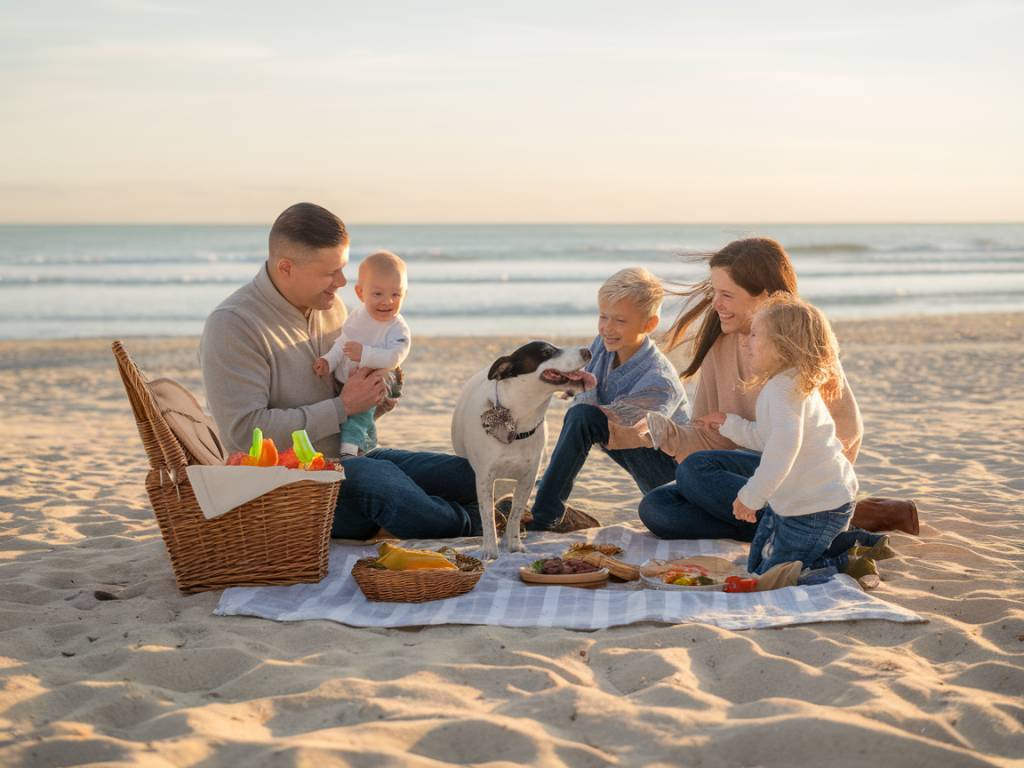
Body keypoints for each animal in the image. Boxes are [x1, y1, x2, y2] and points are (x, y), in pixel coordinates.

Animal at [452, 342, 598, 561]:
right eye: (547, 352)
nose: (587, 351)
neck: (518, 426)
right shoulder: (485, 478)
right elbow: (487, 517)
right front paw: (490, 550)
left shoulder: (528, 478)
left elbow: (515, 513)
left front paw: (513, 544)